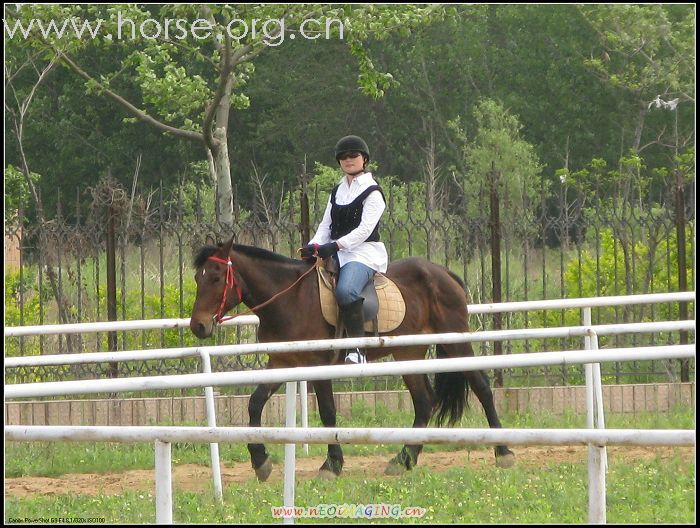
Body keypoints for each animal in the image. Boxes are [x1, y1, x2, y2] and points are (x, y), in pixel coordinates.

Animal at [190, 237, 516, 480]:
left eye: (216, 277)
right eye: (197, 277)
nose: (198, 326)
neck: (289, 298)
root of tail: (443, 272)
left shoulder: (317, 366)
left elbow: (328, 412)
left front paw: (331, 465)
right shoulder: (281, 364)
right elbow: (255, 404)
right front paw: (260, 461)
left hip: (456, 342)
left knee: (481, 387)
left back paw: (503, 452)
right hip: (408, 352)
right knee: (424, 401)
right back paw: (404, 459)